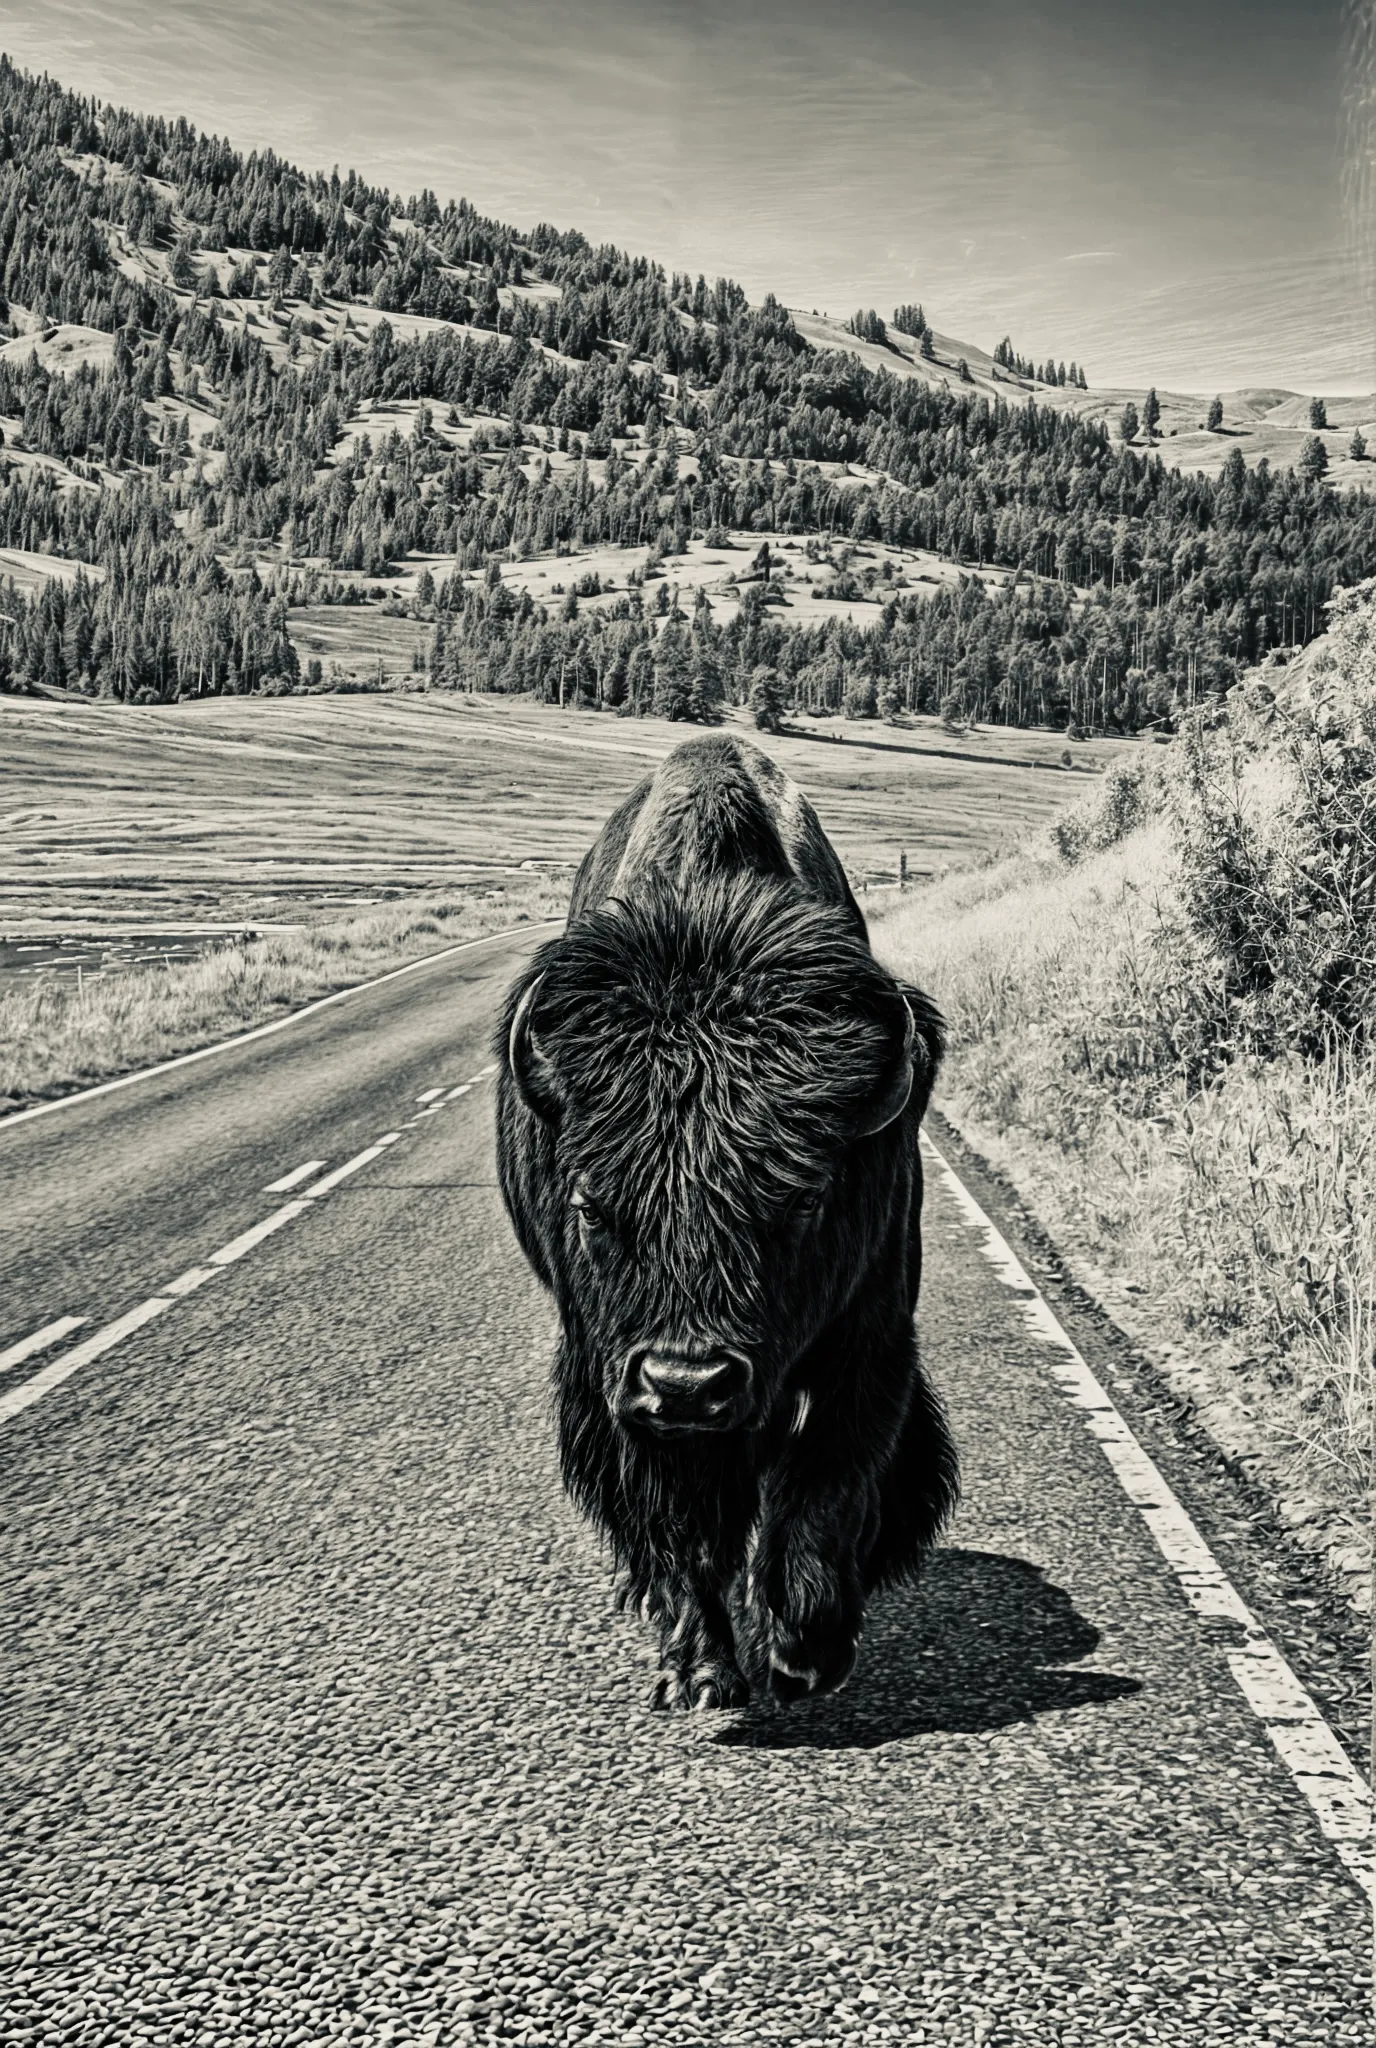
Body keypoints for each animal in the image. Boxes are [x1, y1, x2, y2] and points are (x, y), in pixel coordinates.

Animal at [495, 734, 958, 1707]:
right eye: (590, 1204)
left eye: (804, 1197)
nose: (689, 1382)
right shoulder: (614, 1368)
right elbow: (677, 1513)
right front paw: (703, 1669)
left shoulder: (868, 1337)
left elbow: (826, 1483)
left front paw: (804, 1652)